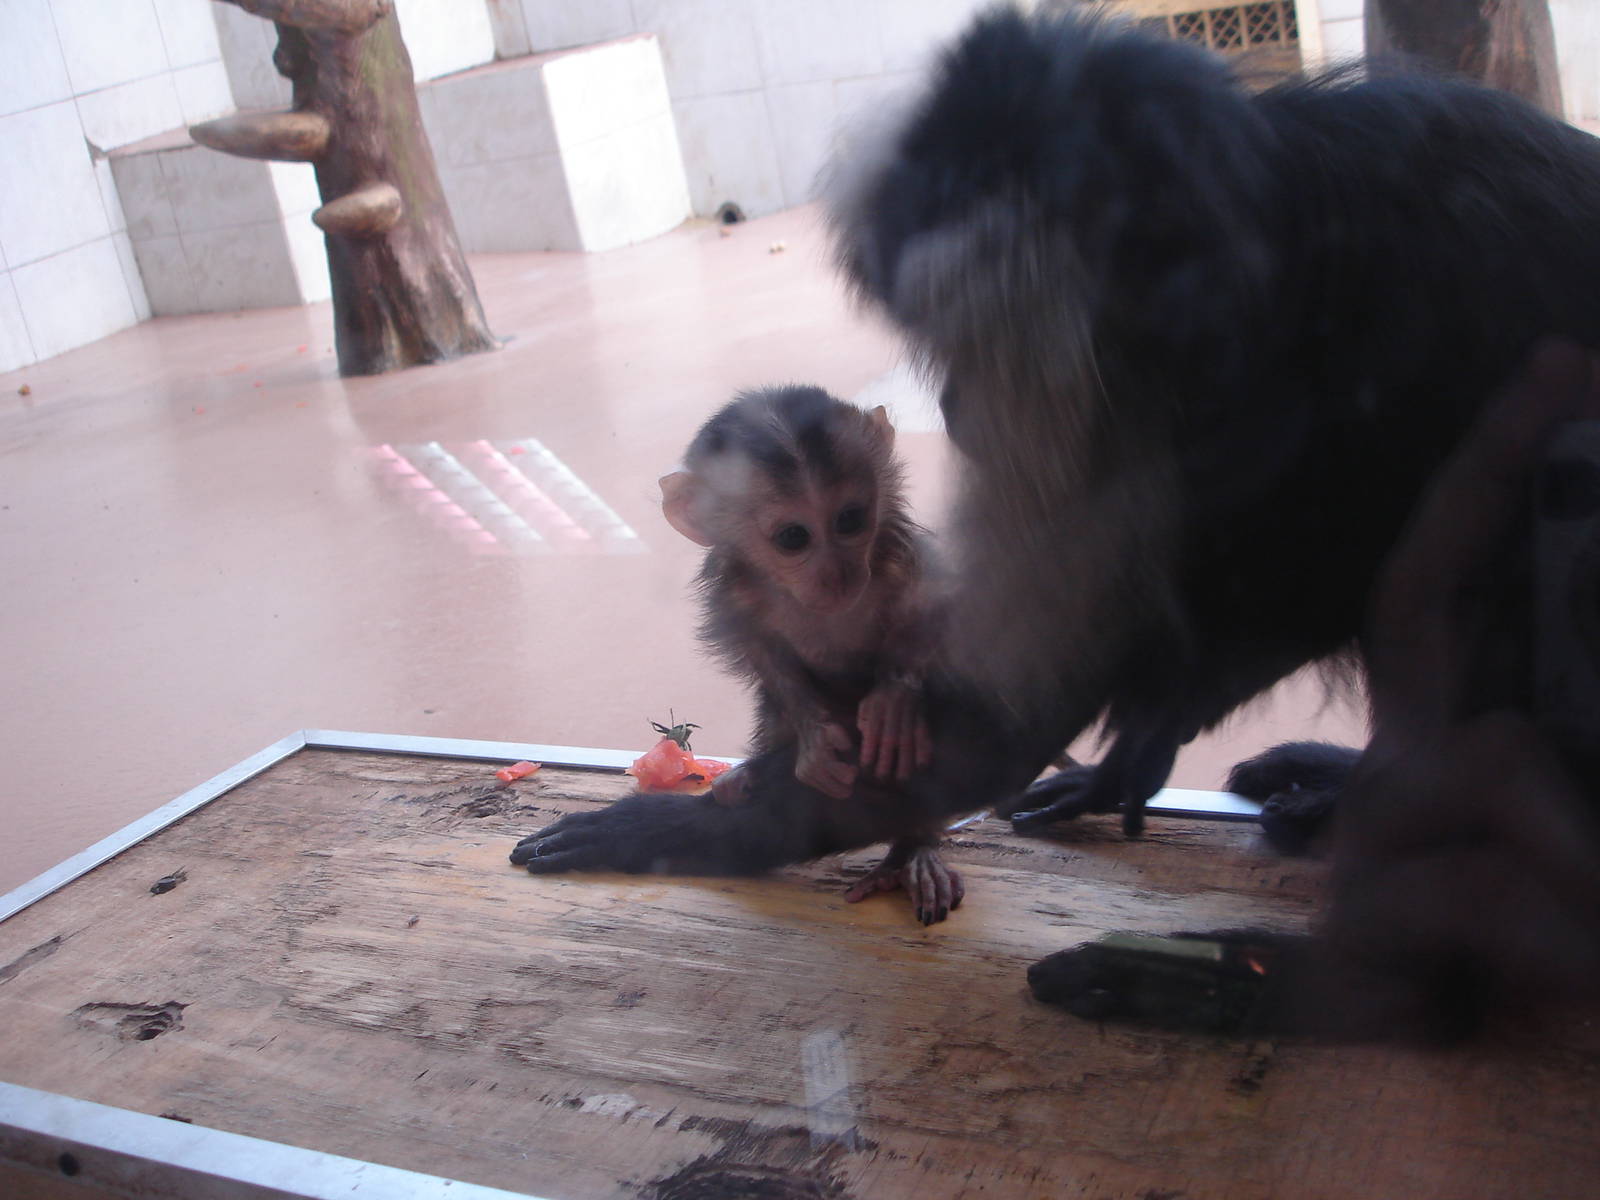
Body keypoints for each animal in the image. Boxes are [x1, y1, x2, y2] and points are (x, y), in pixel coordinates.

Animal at [512, 385, 966, 924]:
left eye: (851, 520)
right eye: (793, 537)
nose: (838, 575)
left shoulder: (899, 553)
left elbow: (940, 616)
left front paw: (894, 701)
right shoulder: (735, 586)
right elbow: (760, 649)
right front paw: (814, 736)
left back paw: (914, 850)